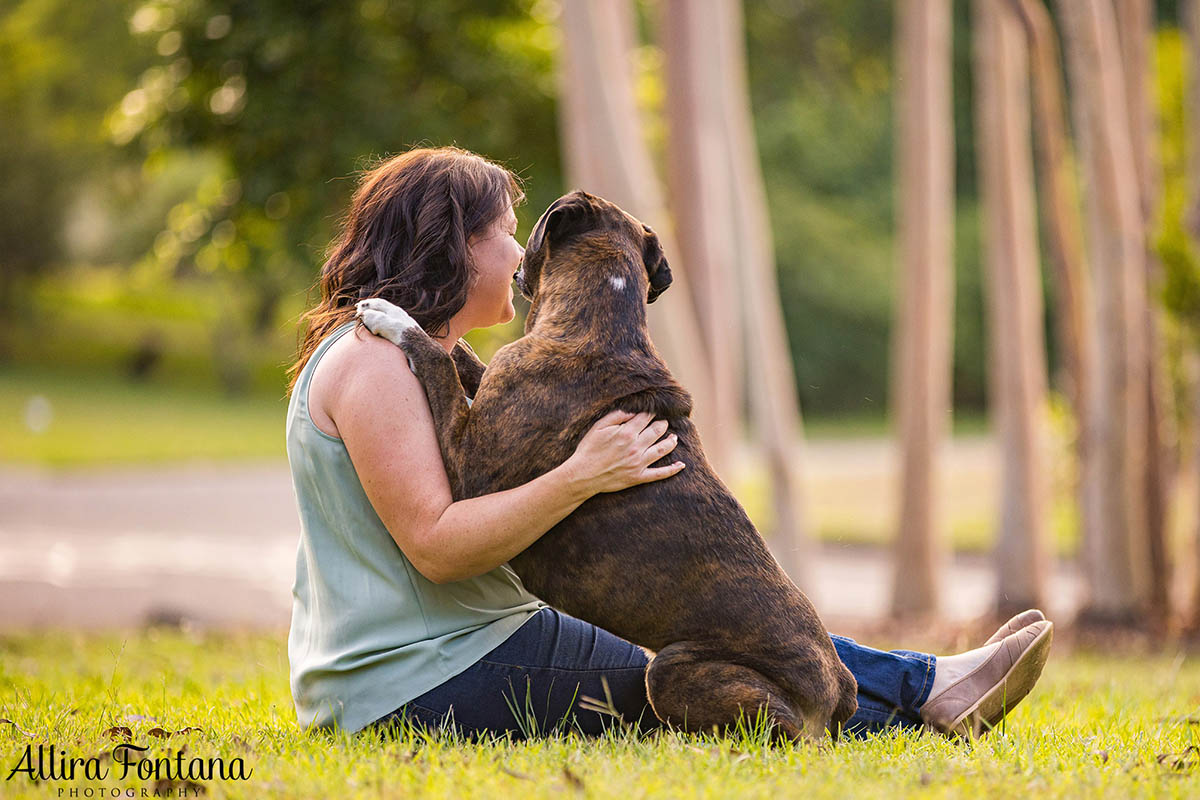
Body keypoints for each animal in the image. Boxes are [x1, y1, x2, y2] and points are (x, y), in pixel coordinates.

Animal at [350, 190, 859, 743]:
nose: (515, 259)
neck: (600, 318)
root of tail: (837, 691)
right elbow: (465, 361)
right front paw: (451, 339)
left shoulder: (469, 477)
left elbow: (438, 365)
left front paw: (396, 318)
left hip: (673, 669)